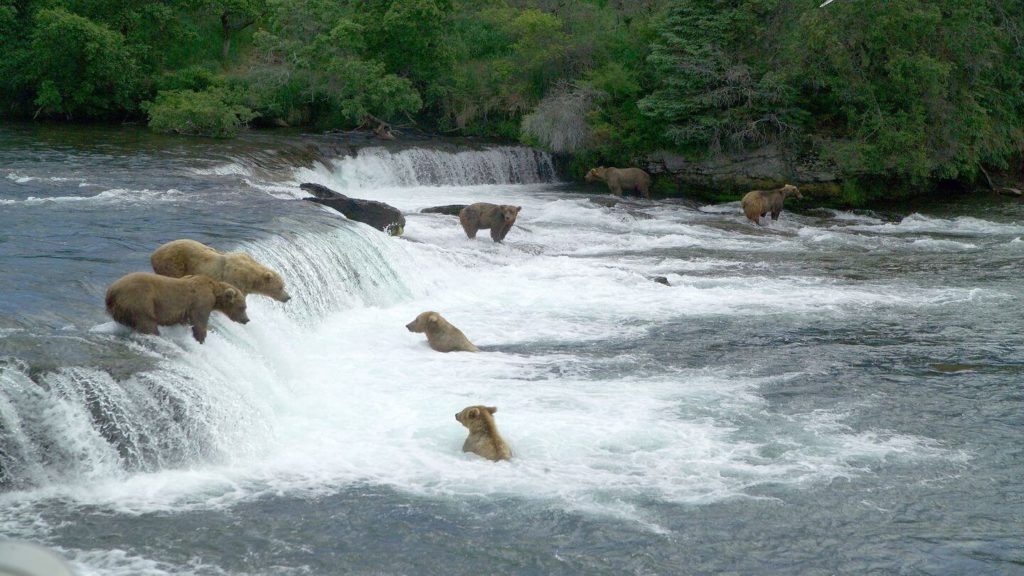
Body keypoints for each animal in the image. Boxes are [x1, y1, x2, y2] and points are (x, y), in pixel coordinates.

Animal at [105, 272, 249, 344]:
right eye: (243, 307)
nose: (246, 320)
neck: (214, 292)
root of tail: (111, 291)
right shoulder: (201, 301)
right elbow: (199, 321)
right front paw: (200, 338)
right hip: (140, 301)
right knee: (147, 323)